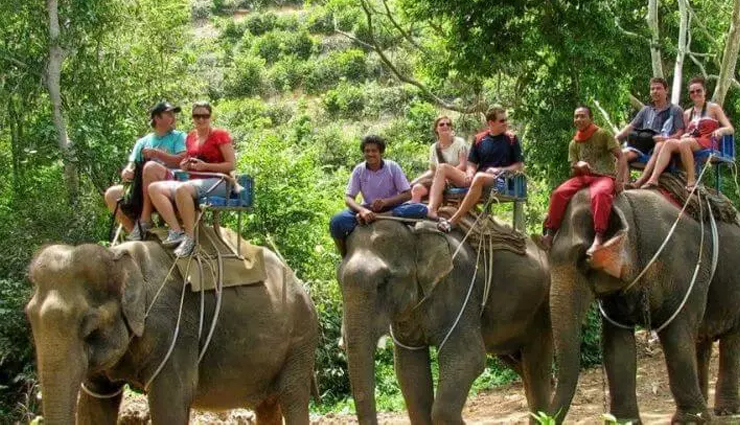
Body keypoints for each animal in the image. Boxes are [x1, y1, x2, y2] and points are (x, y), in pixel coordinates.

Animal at [25, 237, 318, 425]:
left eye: (90, 328)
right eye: (28, 316)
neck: (121, 258)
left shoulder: (174, 331)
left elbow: (171, 400)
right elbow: (95, 403)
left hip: (300, 341)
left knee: (293, 397)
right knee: (267, 406)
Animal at [338, 219, 552, 424]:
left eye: (382, 283)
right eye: (339, 282)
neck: (415, 234)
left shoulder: (458, 286)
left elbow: (468, 357)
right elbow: (409, 371)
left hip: (539, 310)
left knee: (535, 367)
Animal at [548, 189, 740, 423]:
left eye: (583, 259)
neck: (627, 207)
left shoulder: (681, 270)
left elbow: (676, 338)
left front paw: (689, 421)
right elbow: (616, 345)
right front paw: (624, 422)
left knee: (730, 340)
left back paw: (726, 411)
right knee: (701, 341)